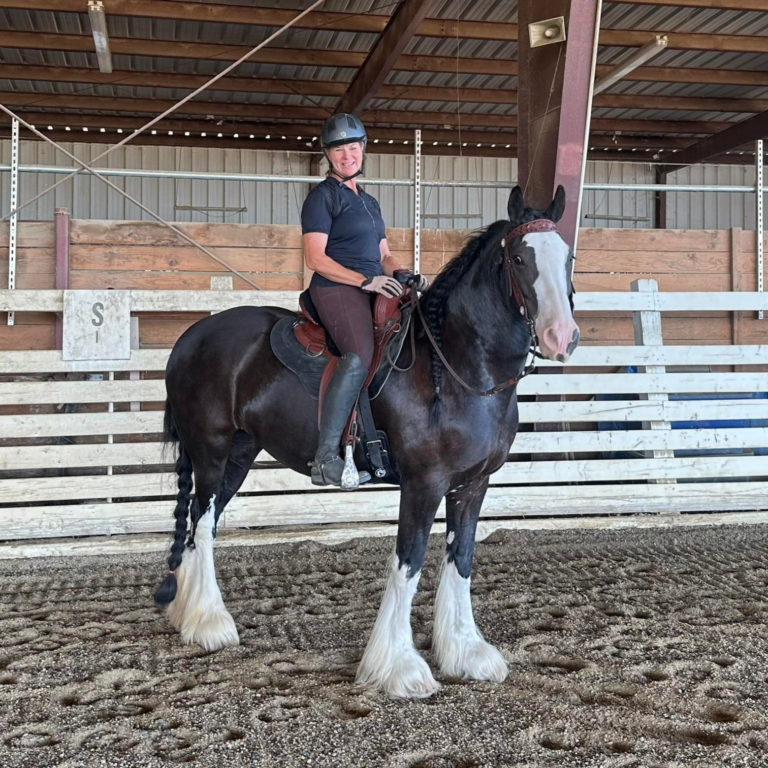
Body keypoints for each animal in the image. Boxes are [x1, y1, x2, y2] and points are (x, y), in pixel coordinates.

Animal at [153, 184, 579, 699]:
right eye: (518, 258)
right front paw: (400, 667)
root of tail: (191, 336)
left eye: (568, 257)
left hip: (238, 453)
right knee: (202, 524)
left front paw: (466, 652)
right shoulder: (422, 485)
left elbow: (461, 560)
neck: (452, 367)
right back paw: (210, 623)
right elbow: (407, 565)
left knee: (203, 522)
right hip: (211, 452)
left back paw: (190, 616)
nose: (561, 336)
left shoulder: (472, 486)